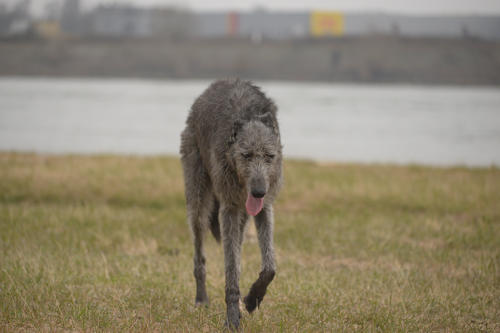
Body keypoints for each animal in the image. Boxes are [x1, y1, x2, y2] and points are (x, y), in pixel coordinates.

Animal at [179, 78, 282, 330]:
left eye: (269, 156)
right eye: (246, 155)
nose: (259, 191)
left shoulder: (264, 208)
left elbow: (270, 267)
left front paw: (253, 298)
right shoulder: (228, 209)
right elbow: (231, 270)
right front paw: (233, 318)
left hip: (244, 217)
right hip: (198, 199)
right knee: (200, 253)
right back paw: (201, 298)